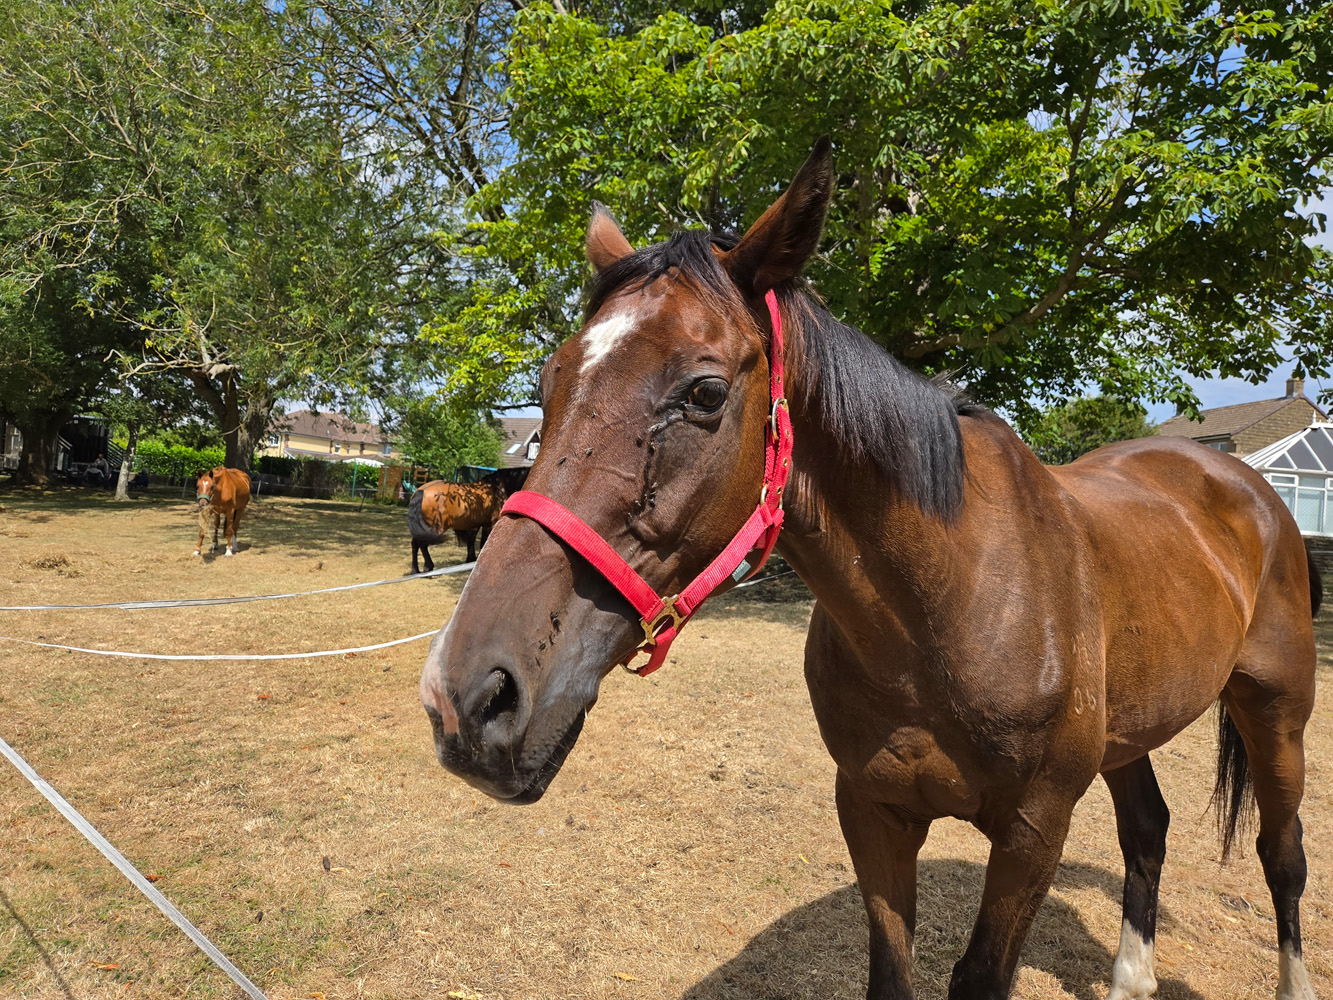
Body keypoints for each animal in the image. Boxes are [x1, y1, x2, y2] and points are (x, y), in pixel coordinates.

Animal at [417, 140, 1320, 1000]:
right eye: (549, 382)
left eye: (703, 393)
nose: (465, 699)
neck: (946, 608)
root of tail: (1241, 484)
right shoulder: (871, 812)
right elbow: (891, 970)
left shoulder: (1033, 831)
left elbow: (979, 977)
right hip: (1131, 733)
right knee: (1147, 831)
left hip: (1275, 716)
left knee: (1282, 851)